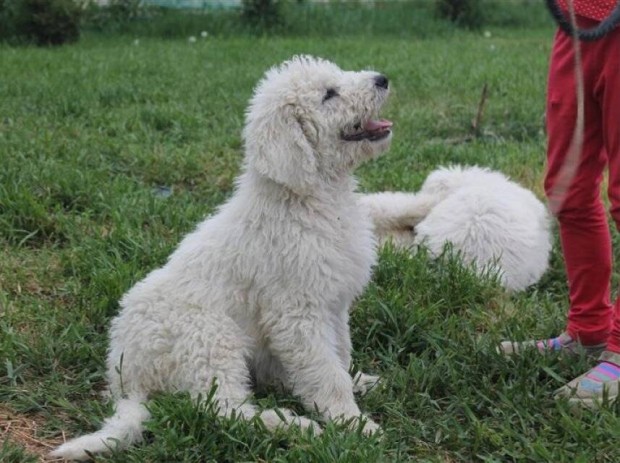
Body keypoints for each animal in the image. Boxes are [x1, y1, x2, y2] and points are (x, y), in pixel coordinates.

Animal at [52, 54, 392, 460]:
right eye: (329, 94)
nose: (383, 79)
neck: (309, 197)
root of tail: (127, 377)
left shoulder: (334, 304)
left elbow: (340, 354)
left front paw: (357, 382)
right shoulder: (297, 312)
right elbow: (326, 372)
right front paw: (353, 424)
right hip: (211, 338)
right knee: (223, 408)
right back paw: (294, 425)